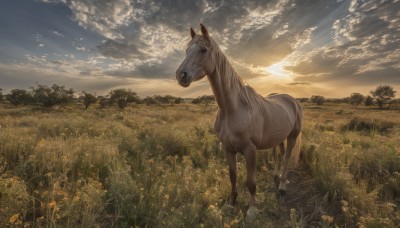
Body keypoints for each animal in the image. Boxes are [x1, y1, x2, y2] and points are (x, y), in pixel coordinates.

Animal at [176, 24, 304, 218]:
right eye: (186, 50)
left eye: (203, 50)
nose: (181, 75)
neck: (233, 110)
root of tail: (292, 100)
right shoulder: (228, 148)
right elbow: (233, 176)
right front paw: (231, 203)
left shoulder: (250, 150)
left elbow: (251, 181)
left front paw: (252, 209)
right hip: (279, 137)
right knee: (278, 155)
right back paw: (276, 177)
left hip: (293, 136)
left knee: (287, 157)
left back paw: (282, 186)